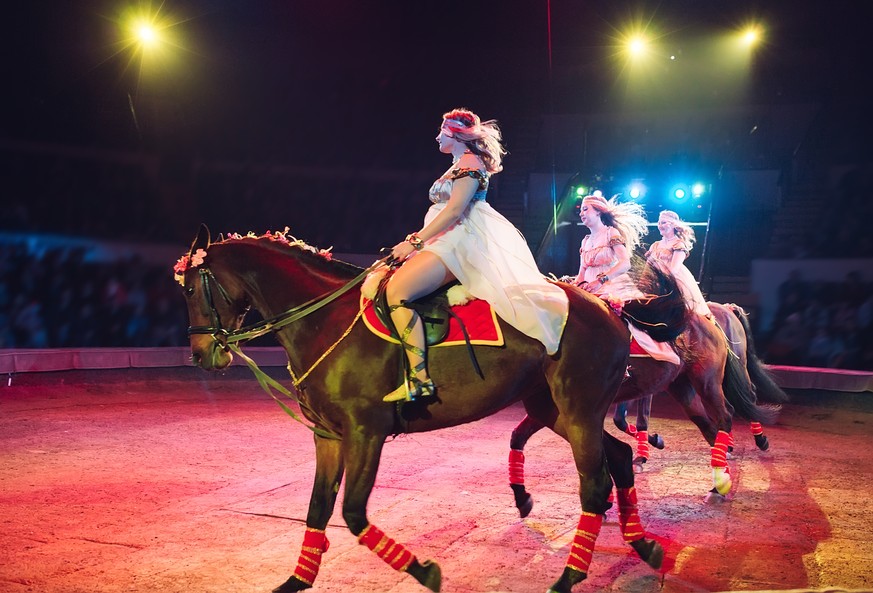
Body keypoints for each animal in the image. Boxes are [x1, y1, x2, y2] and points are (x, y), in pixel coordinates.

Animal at [179, 225, 688, 592]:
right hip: (557, 410)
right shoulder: (329, 436)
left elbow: (354, 513)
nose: (202, 354)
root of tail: (610, 309)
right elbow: (318, 508)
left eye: (188, 290)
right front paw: (296, 581)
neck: (325, 320)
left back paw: (570, 576)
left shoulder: (365, 432)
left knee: (595, 483)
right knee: (619, 457)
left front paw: (424, 571)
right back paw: (642, 546)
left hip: (578, 409)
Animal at [504, 298, 784, 512]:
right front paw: (522, 498)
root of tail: (714, 315)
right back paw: (722, 471)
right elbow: (518, 436)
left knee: (732, 410)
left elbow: (633, 423)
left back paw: (728, 473)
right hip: (683, 386)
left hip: (709, 380)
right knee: (711, 424)